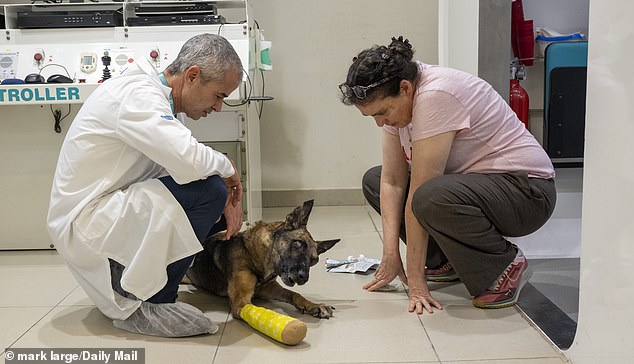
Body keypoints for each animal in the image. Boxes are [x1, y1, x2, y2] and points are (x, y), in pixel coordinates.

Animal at [184, 200, 338, 320]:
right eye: (298, 243)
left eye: (314, 261)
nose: (303, 278)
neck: (252, 254)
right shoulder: (241, 302)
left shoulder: (269, 289)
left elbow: (294, 294)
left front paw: (314, 305)